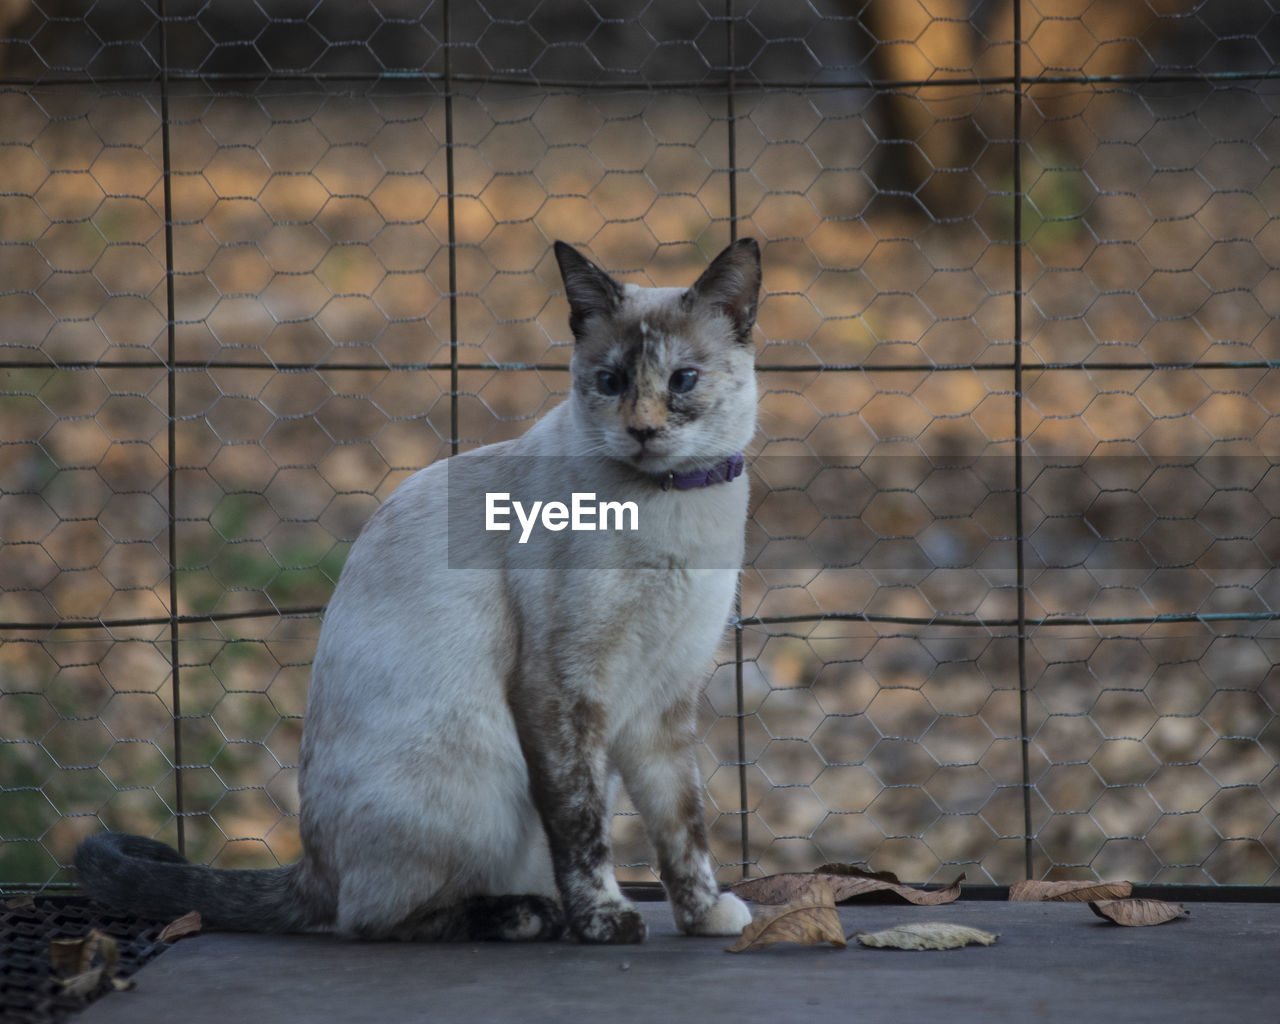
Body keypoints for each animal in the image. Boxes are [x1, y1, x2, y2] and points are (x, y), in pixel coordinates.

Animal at [74, 235, 757, 942]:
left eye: (682, 381)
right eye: (610, 381)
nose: (642, 430)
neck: (673, 503)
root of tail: (309, 865)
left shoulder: (664, 700)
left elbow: (683, 828)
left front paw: (707, 915)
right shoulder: (563, 687)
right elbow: (583, 827)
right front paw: (605, 920)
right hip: (478, 775)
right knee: (372, 919)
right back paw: (528, 916)